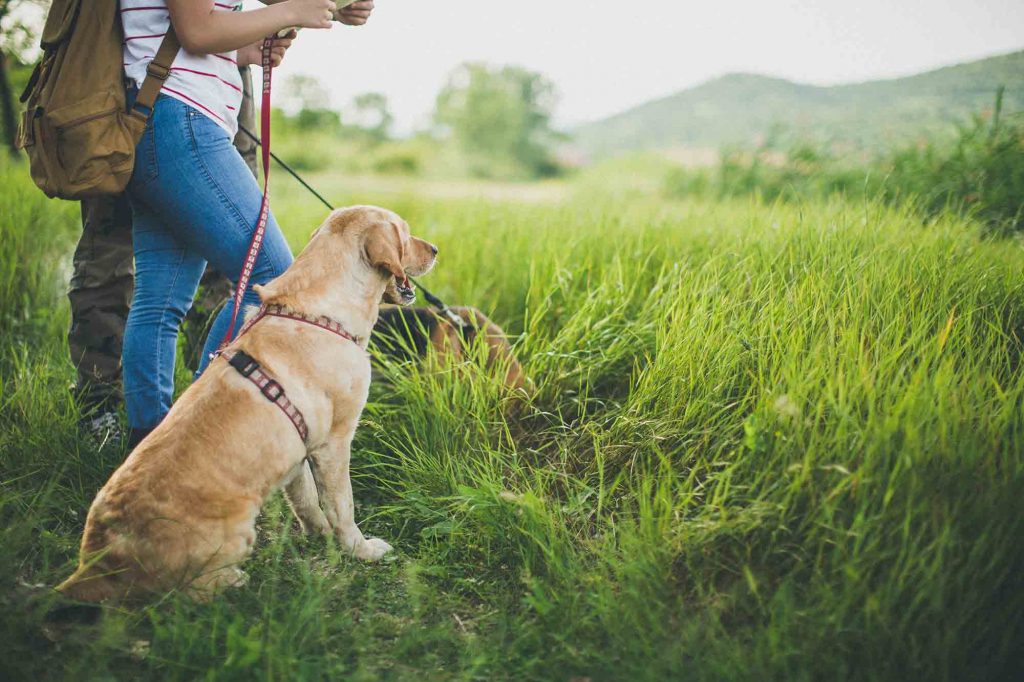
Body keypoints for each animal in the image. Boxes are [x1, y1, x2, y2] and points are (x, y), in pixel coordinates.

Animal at [57, 205, 436, 602]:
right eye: (405, 233)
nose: (436, 249)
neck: (319, 314)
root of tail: (97, 563)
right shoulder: (334, 445)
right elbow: (342, 507)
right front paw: (362, 550)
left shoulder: (298, 453)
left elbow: (307, 502)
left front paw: (320, 536)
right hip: (237, 533)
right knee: (189, 593)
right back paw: (235, 580)